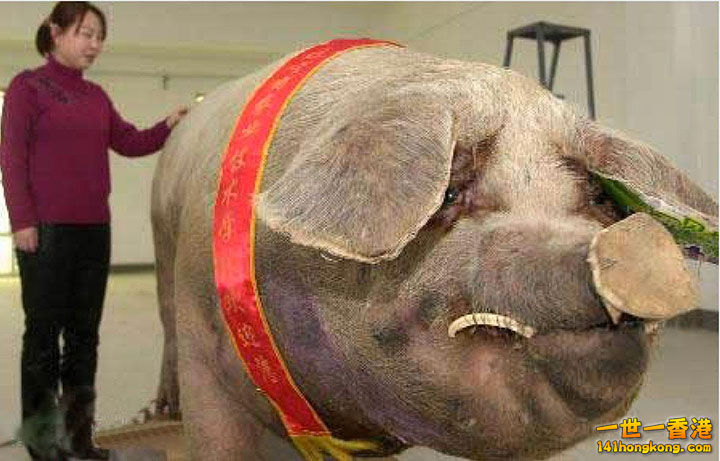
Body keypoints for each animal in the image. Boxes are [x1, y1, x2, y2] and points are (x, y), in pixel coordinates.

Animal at [149, 44, 717, 460]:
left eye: (599, 197)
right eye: (446, 194)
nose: (636, 240)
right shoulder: (205, 353)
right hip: (161, 247)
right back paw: (156, 412)